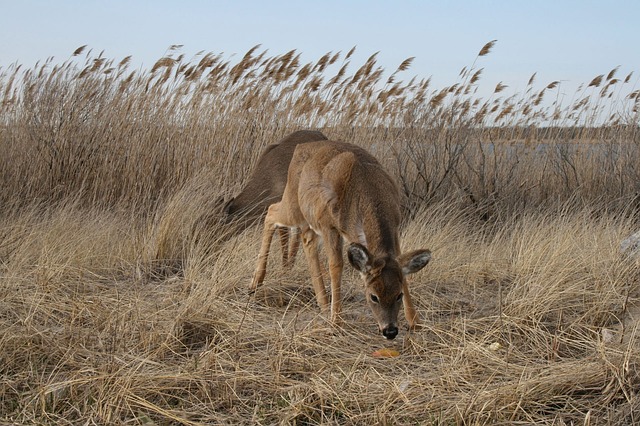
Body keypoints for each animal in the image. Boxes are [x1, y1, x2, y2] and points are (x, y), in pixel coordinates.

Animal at [250, 140, 430, 340]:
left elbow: (402, 269)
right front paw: (336, 321)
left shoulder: (395, 226)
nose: (390, 331)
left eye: (398, 295)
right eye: (373, 296)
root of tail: (300, 146)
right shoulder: (329, 226)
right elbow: (336, 265)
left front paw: (416, 321)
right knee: (271, 211)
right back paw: (256, 282)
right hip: (294, 205)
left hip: (309, 218)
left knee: (307, 240)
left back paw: (322, 302)